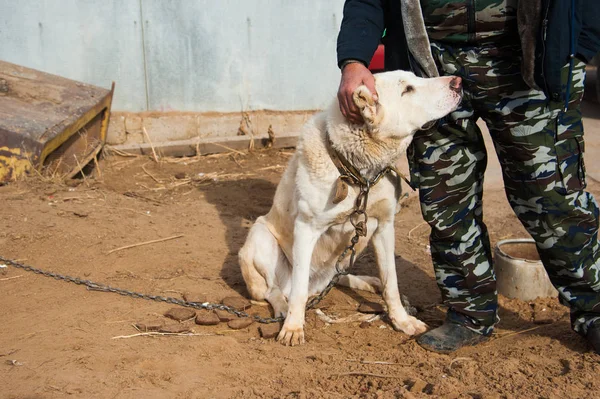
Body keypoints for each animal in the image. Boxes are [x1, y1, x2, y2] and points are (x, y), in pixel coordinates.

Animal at [239, 70, 464, 346]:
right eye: (407, 89)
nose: (458, 82)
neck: (359, 174)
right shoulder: (305, 228)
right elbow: (299, 293)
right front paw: (293, 327)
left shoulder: (384, 227)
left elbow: (392, 283)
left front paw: (402, 321)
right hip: (260, 237)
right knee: (277, 290)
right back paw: (283, 308)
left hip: (352, 249)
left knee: (337, 277)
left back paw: (369, 282)